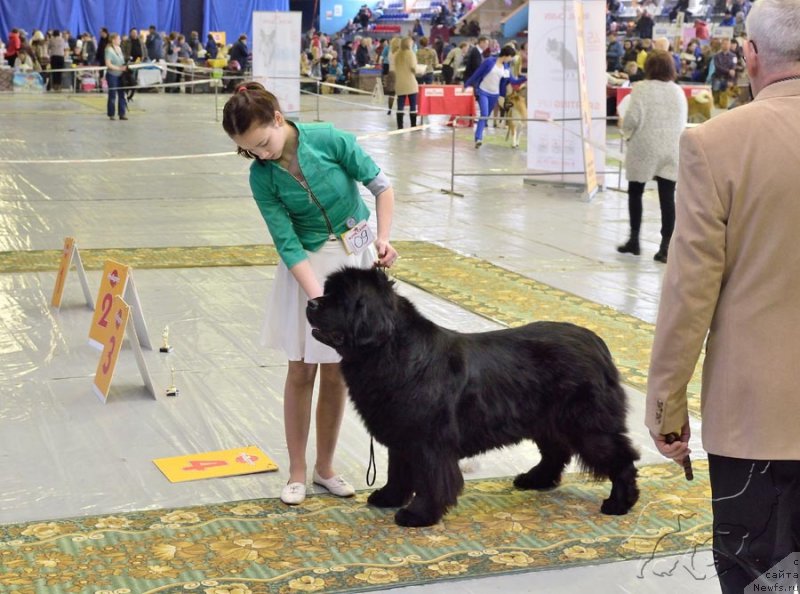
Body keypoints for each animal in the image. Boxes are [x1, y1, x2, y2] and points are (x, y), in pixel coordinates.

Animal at [306, 266, 636, 524]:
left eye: (341, 299)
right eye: (327, 292)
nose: (310, 303)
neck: (390, 351)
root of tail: (597, 342)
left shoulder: (429, 441)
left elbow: (432, 479)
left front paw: (418, 515)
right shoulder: (402, 434)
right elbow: (398, 471)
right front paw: (388, 497)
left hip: (587, 426)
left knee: (621, 458)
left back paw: (620, 503)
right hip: (546, 419)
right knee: (556, 452)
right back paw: (535, 480)